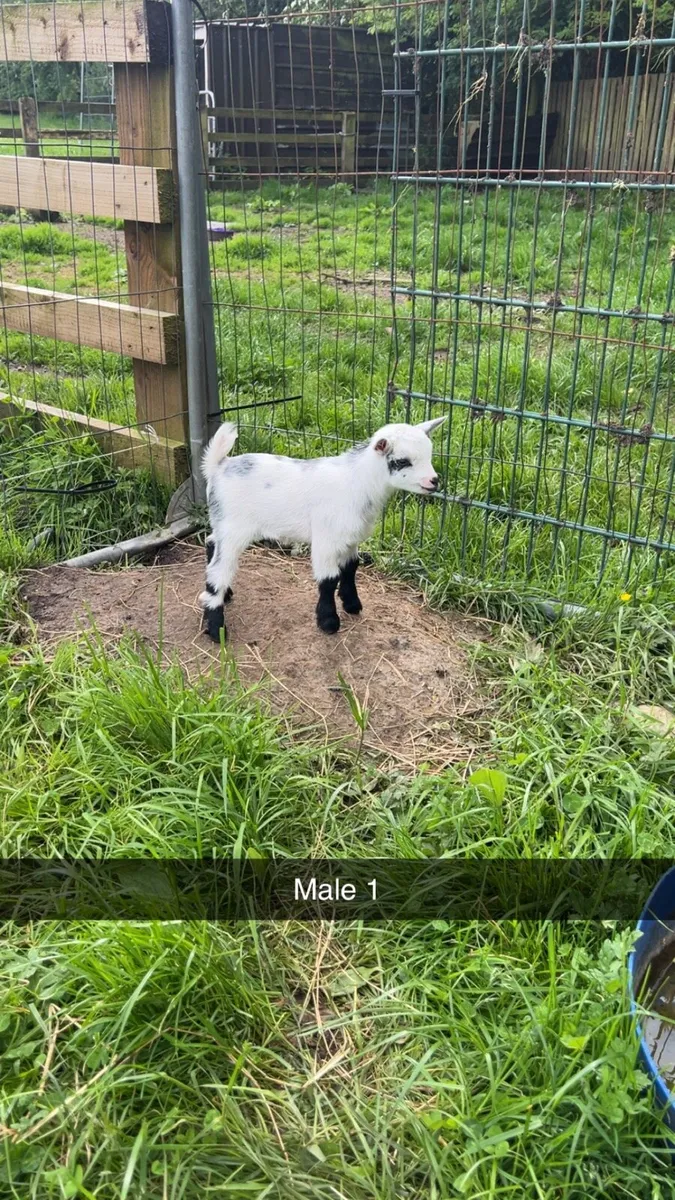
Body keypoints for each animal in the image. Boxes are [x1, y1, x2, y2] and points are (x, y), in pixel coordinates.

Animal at [200, 416, 446, 641]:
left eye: (429, 454)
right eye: (402, 461)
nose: (434, 481)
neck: (358, 482)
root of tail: (218, 466)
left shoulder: (351, 538)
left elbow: (350, 567)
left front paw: (352, 604)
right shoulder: (326, 539)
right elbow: (329, 579)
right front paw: (328, 622)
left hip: (222, 522)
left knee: (211, 543)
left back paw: (225, 596)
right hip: (234, 528)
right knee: (218, 570)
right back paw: (216, 628)